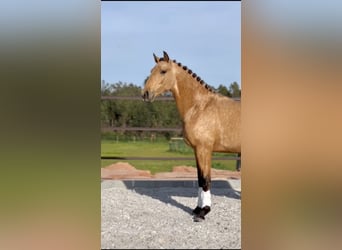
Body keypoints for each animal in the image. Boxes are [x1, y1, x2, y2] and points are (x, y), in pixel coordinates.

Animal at [142, 50, 240, 221]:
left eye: (163, 71)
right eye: (151, 70)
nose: (146, 94)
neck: (199, 106)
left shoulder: (204, 149)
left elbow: (205, 180)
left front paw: (203, 212)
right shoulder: (197, 150)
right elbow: (200, 179)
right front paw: (197, 209)